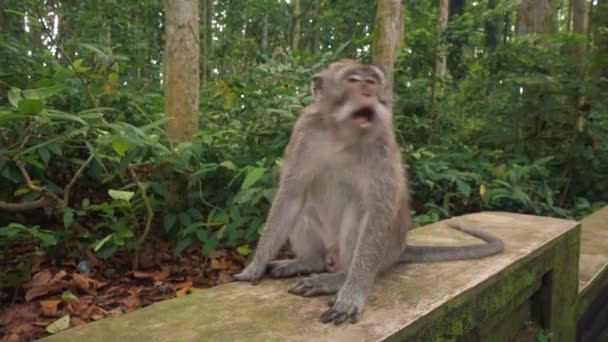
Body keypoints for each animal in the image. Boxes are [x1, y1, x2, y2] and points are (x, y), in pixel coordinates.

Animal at [233, 60, 504, 324]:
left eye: (372, 81)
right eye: (353, 80)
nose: (368, 93)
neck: (341, 136)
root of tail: (400, 248)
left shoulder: (381, 141)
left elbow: (377, 210)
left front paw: (351, 295)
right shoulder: (304, 132)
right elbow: (291, 195)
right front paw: (255, 266)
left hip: (381, 251)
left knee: (358, 215)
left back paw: (337, 279)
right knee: (304, 208)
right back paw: (308, 262)